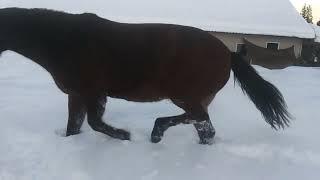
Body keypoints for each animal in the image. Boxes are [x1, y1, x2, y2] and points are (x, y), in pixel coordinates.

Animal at [0, 7, 290, 144]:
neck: (64, 41)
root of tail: (228, 53)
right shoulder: (76, 94)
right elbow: (74, 127)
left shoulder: (94, 93)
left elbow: (95, 123)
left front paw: (124, 135)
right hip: (196, 99)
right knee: (203, 127)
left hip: (186, 97)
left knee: (200, 122)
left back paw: (157, 132)